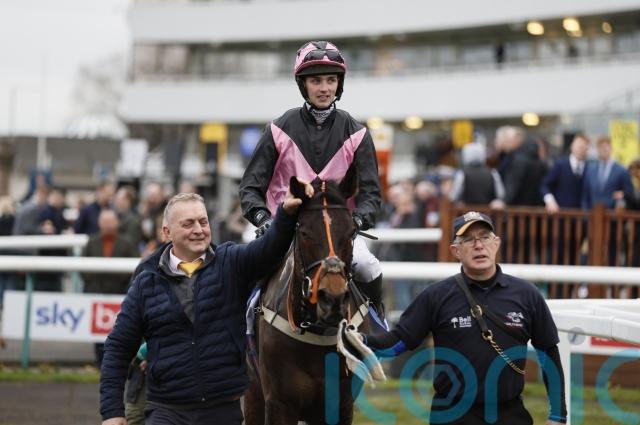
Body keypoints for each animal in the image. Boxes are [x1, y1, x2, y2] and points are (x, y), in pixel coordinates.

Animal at [244, 171, 376, 425]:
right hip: (253, 392)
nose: (332, 298)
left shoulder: (341, 405)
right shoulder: (279, 404)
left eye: (352, 232)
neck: (317, 330)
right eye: (304, 232)